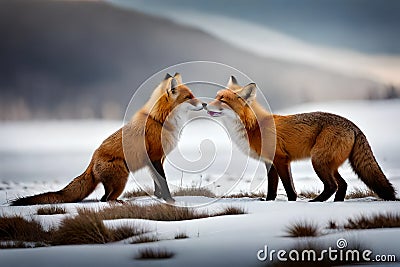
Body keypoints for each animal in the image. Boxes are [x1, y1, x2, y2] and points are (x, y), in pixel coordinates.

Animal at [12, 72, 203, 206]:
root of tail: (92, 160)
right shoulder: (155, 158)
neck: (160, 121)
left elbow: (158, 185)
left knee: (103, 198)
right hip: (122, 180)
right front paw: (170, 201)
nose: (204, 104)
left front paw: (159, 199)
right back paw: (120, 203)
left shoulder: (157, 160)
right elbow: (163, 183)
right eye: (189, 97)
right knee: (106, 199)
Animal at [206, 76, 396, 202]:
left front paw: (291, 203)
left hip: (318, 161)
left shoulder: (280, 159)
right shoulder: (270, 162)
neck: (254, 126)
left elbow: (289, 188)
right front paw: (269, 203)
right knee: (343, 185)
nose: (205, 104)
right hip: (328, 164)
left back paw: (316, 202)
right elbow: (272, 188)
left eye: (222, 100)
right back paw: (336, 203)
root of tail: (353, 125)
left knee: (333, 185)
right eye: (216, 97)